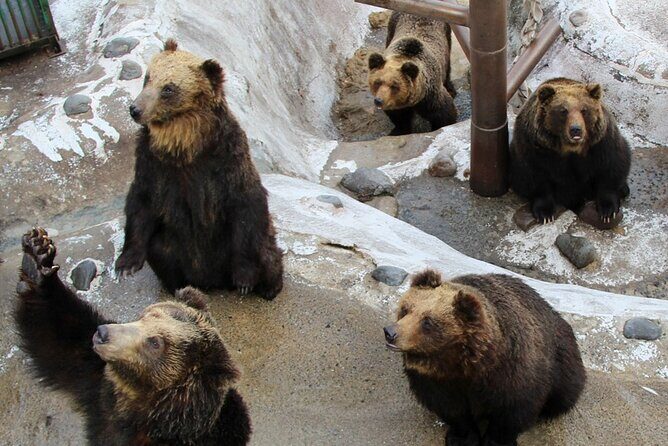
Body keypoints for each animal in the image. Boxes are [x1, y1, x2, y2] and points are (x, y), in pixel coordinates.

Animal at [15, 228, 251, 445]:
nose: (103, 333)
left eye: (155, 342)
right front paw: (37, 255)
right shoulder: (98, 388)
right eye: (144, 315)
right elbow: (60, 336)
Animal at [115, 39, 283, 299]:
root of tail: (214, 281)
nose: (135, 109)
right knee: (161, 250)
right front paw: (126, 265)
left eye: (168, 88)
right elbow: (141, 202)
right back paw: (178, 286)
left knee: (266, 251)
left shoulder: (227, 158)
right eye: (148, 77)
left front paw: (245, 279)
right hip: (176, 249)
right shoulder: (152, 162)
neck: (185, 144)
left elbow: (246, 202)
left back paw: (268, 288)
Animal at [384, 270, 585, 446]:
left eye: (427, 321)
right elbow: (451, 408)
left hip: (563, 357)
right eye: (406, 309)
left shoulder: (513, 371)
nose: (390, 332)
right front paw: (461, 438)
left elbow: (512, 410)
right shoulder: (435, 379)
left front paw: (497, 440)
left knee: (565, 393)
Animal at [509, 77, 631, 224]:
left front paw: (608, 211)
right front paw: (545, 213)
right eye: (563, 111)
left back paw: (624, 189)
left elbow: (611, 167)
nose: (576, 129)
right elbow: (534, 176)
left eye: (584, 110)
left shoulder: (601, 143)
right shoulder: (534, 148)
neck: (570, 147)